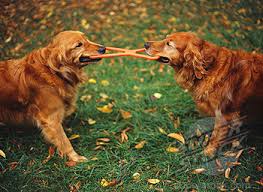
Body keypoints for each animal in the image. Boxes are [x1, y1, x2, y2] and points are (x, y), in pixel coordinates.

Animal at [1, 30, 106, 162]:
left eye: (86, 39)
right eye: (78, 45)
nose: (103, 48)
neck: (53, 71)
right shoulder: (51, 119)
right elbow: (64, 141)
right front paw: (76, 158)